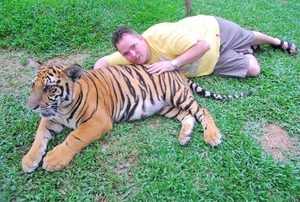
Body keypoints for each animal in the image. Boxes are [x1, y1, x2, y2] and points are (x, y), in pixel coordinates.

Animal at [21, 58, 251, 172]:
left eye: (50, 88)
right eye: (33, 85)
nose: (31, 107)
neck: (62, 108)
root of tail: (177, 71)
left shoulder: (98, 122)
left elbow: (73, 138)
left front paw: (52, 160)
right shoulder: (50, 119)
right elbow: (39, 136)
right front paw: (29, 160)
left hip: (178, 95)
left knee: (202, 111)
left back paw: (212, 136)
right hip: (166, 107)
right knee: (188, 116)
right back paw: (184, 137)